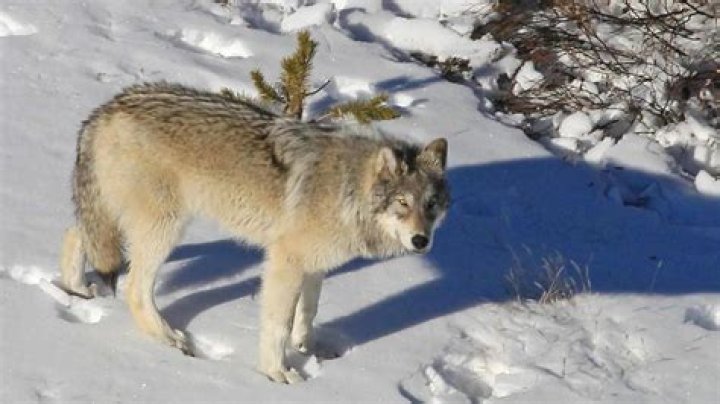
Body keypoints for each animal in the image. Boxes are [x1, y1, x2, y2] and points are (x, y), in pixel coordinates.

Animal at [59, 82, 450, 383]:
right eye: (402, 203)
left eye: (431, 204)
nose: (421, 241)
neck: (346, 189)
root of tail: (106, 109)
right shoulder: (285, 261)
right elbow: (278, 324)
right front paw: (277, 374)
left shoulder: (315, 264)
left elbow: (308, 312)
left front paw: (309, 349)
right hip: (165, 228)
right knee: (135, 290)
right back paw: (169, 339)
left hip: (116, 217)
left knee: (75, 234)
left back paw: (75, 289)